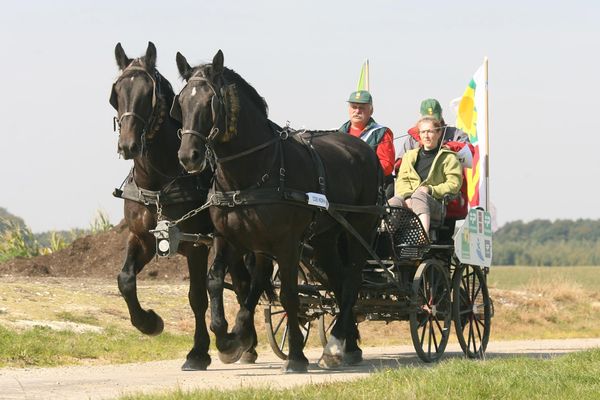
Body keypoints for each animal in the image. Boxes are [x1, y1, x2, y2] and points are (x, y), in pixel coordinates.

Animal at [109, 42, 256, 370]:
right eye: (117, 93)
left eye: (147, 94)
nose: (128, 145)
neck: (159, 182)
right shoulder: (143, 238)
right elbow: (125, 280)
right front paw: (149, 322)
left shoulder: (196, 244)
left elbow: (197, 295)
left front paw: (198, 352)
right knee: (243, 281)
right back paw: (248, 344)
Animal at [171, 49, 382, 372]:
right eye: (181, 102)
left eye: (210, 102)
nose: (188, 156)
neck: (250, 174)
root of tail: (363, 150)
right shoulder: (229, 238)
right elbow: (216, 281)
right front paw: (228, 339)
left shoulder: (286, 243)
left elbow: (289, 295)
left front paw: (295, 355)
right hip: (324, 239)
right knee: (337, 279)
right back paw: (347, 344)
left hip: (360, 228)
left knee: (352, 279)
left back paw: (335, 344)